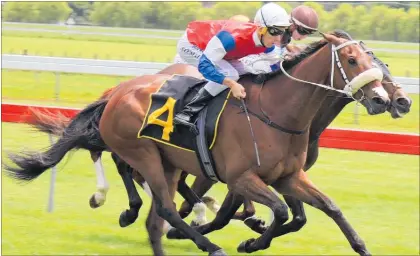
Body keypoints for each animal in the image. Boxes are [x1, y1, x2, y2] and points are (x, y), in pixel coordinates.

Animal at [4, 32, 390, 256]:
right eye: (352, 60)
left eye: (375, 61)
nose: (384, 100)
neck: (277, 112)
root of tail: (116, 94)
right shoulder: (241, 178)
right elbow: (279, 212)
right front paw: (250, 242)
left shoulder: (288, 177)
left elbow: (326, 208)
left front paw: (361, 246)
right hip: (145, 155)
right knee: (160, 204)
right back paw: (205, 242)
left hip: (168, 162)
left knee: (156, 209)